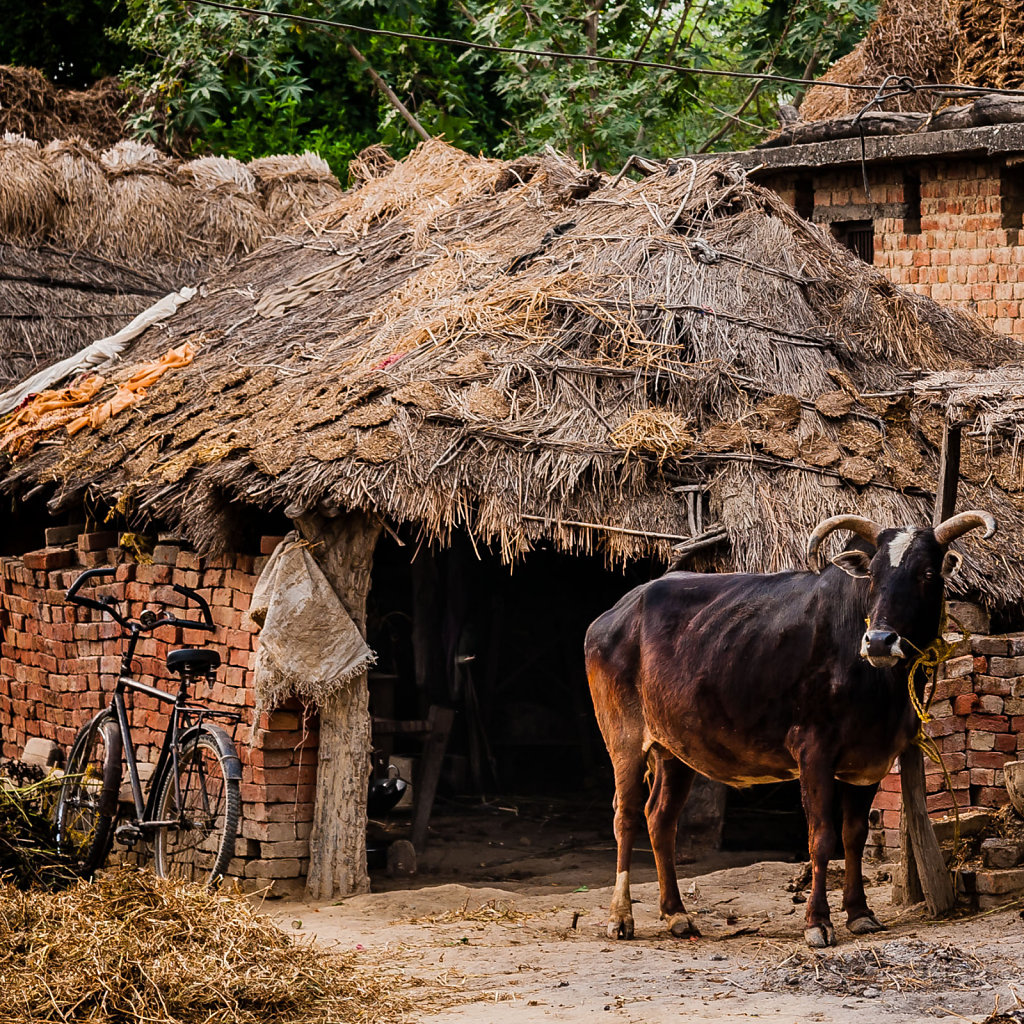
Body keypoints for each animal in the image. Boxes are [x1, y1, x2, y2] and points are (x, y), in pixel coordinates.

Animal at [589, 507, 995, 946]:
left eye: (927, 573)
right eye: (873, 574)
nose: (879, 641)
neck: (879, 683)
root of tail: (616, 612)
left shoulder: (868, 762)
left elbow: (853, 835)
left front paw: (859, 913)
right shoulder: (813, 751)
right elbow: (822, 837)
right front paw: (817, 921)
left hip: (674, 749)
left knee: (660, 818)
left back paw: (676, 914)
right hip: (624, 740)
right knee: (626, 815)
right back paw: (620, 917)